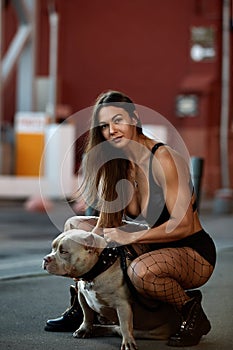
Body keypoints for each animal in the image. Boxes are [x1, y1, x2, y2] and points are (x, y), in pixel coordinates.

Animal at [42, 230, 180, 350]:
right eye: (53, 248)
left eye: (64, 251)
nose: (45, 259)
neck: (98, 270)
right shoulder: (82, 296)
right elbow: (87, 315)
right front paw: (85, 329)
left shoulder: (123, 305)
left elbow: (125, 325)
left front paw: (128, 343)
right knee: (114, 328)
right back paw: (96, 328)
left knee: (121, 328)